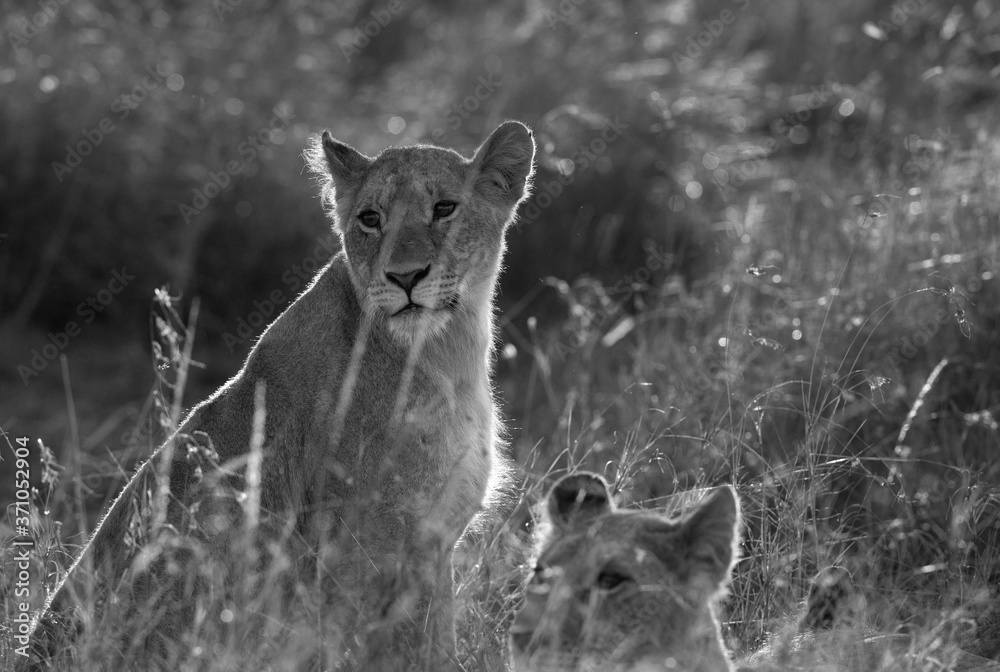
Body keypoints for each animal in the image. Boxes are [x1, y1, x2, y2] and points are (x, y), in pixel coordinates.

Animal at [24, 120, 536, 671]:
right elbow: (418, 648)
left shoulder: (430, 540)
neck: (448, 349)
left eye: (444, 208)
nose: (404, 276)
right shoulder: (374, 542)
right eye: (370, 219)